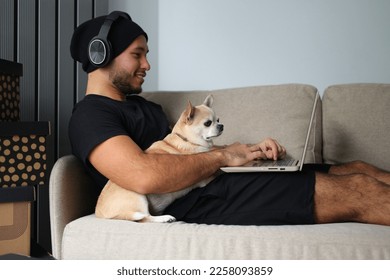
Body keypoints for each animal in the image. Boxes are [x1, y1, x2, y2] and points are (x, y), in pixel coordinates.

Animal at [94, 95, 222, 222]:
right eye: (208, 123)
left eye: (218, 120)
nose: (221, 126)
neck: (186, 139)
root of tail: (99, 214)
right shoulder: (204, 179)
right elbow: (218, 172)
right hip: (138, 195)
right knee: (145, 218)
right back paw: (164, 218)